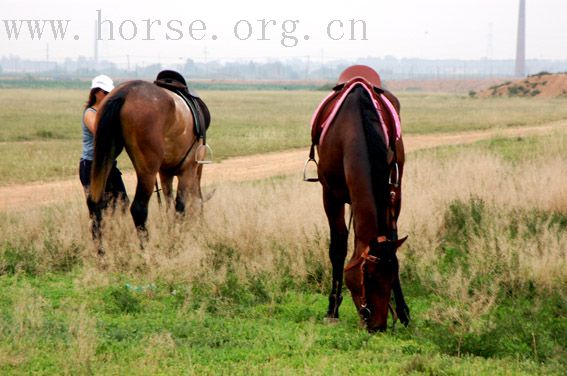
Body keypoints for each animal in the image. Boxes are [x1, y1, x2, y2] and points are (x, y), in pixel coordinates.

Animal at [87, 71, 212, 253]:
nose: (201, 229)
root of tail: (124, 93)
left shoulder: (165, 174)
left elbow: (169, 206)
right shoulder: (187, 170)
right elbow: (180, 207)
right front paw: (178, 239)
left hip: (106, 156)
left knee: (95, 203)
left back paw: (101, 252)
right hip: (147, 170)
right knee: (138, 208)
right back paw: (145, 250)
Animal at [310, 64, 408, 332]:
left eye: (392, 276)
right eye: (369, 277)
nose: (378, 326)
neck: (353, 130)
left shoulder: (389, 191)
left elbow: (392, 238)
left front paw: (404, 311)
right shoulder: (329, 195)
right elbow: (338, 246)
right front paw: (332, 310)